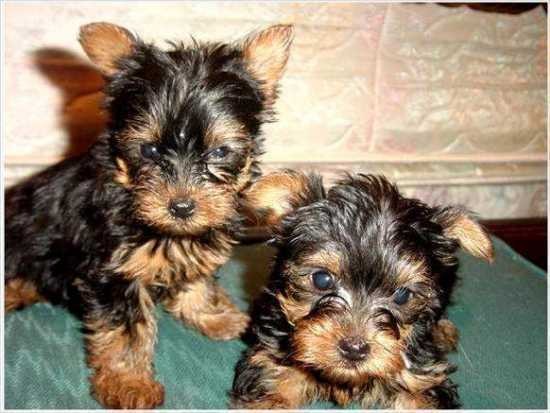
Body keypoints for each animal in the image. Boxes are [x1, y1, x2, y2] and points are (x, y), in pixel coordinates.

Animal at [4, 21, 296, 406]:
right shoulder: (114, 271)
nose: (182, 206)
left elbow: (196, 279)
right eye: (150, 150)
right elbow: (126, 330)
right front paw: (130, 382)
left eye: (220, 152)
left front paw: (213, 314)